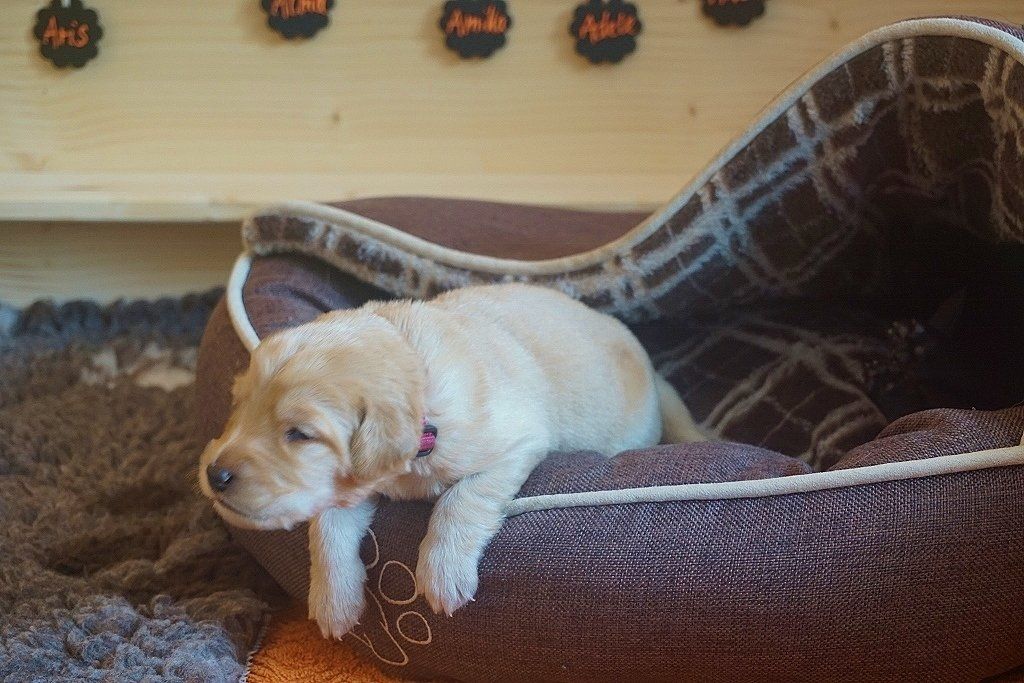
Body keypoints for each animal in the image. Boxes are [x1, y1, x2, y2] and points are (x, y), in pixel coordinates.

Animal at [199, 283, 703, 638]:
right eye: (238, 406)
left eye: (299, 434)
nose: (213, 474)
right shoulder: (353, 483)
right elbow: (327, 527)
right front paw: (333, 600)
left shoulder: (515, 443)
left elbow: (462, 498)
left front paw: (442, 572)